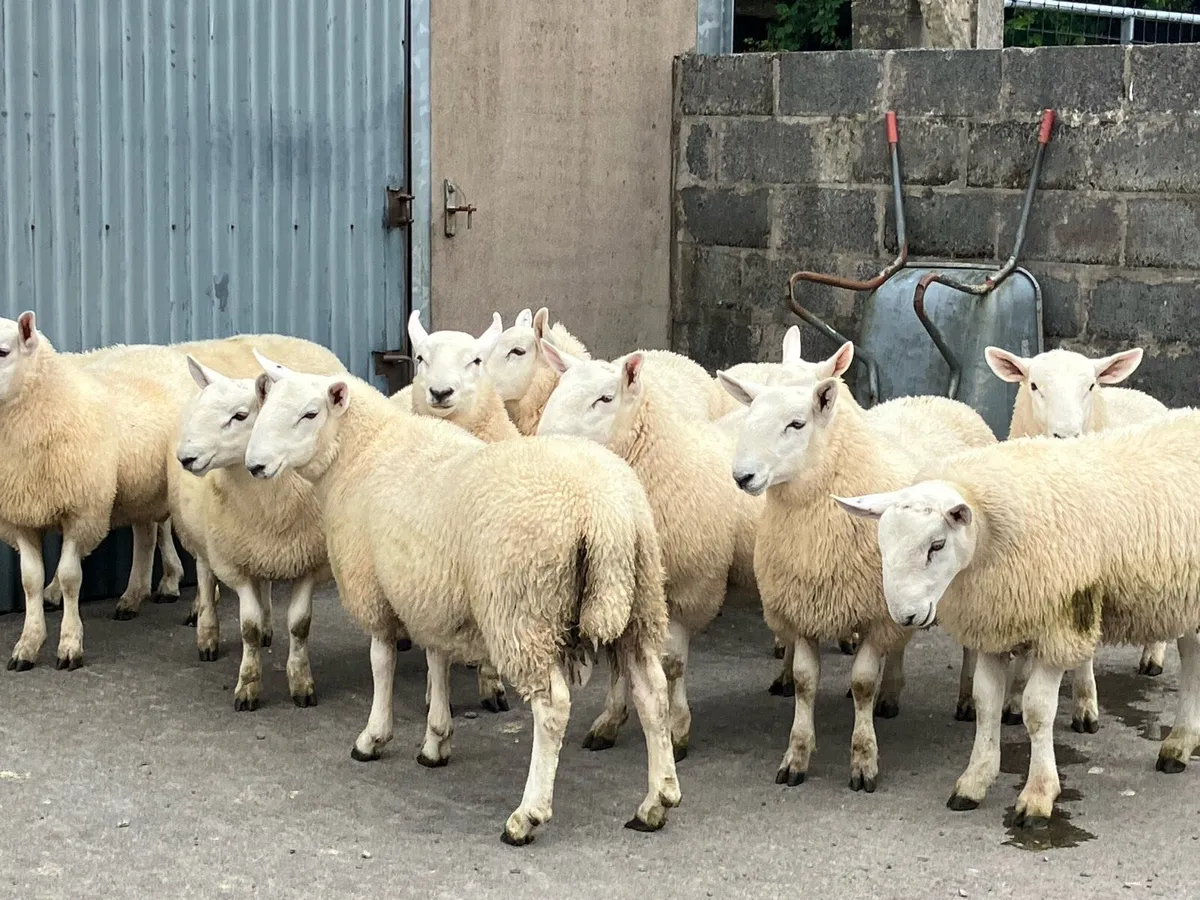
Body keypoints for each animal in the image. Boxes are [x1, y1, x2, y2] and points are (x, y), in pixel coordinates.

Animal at [243, 360, 682, 845]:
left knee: (552, 708)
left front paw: (373, 738)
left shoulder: (374, 588)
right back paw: (656, 802)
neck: (362, 454)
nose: (254, 465)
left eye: (309, 414)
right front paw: (435, 741)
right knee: (653, 693)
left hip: (523, 609)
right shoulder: (429, 592)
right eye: (266, 405)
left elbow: (382, 663)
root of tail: (604, 512)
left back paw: (527, 815)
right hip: (640, 599)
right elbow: (437, 661)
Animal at [535, 342, 761, 761]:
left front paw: (676, 730)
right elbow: (617, 660)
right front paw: (609, 721)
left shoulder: (690, 587)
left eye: (605, 398)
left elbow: (673, 664)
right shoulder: (621, 588)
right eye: (559, 388)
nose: (547, 443)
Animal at [718, 344, 995, 791]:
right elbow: (805, 682)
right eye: (751, 414)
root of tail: (939, 398)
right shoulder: (805, 609)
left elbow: (862, 682)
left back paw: (966, 699)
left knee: (968, 646)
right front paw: (796, 757)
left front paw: (864, 760)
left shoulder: (874, 613)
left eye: (797, 423)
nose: (743, 476)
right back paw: (891, 695)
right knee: (900, 641)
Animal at [832, 409, 1200, 827]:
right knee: (1193, 659)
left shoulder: (1059, 626)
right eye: (882, 544)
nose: (905, 615)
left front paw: (1038, 796)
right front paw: (974, 781)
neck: (987, 541)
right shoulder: (995, 622)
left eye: (937, 545)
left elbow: (1037, 711)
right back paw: (1179, 745)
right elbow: (986, 702)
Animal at [985, 344, 1172, 717]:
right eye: (1034, 386)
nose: (1067, 436)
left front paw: (1086, 705)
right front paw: (1014, 697)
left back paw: (1153, 656)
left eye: (1090, 386)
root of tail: (1138, 393)